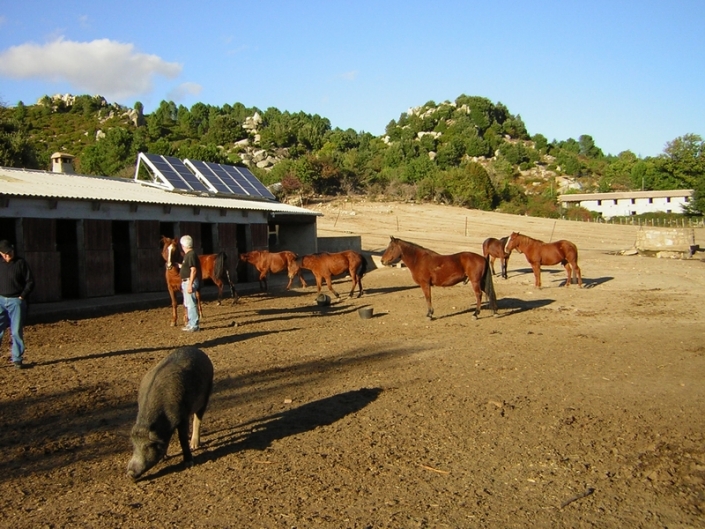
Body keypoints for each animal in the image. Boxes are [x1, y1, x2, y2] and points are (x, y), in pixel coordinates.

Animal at [126, 346, 213, 478]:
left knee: (197, 419)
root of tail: (198, 350)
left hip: (206, 394)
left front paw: (189, 463)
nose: (130, 472)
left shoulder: (182, 416)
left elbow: (182, 439)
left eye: (148, 446)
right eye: (133, 445)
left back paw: (194, 445)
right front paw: (164, 458)